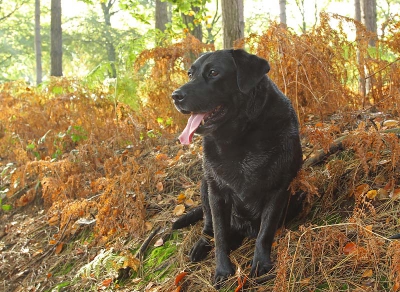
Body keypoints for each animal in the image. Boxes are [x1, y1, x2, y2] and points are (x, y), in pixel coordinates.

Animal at [170, 49, 302, 288]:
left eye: (213, 73)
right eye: (190, 74)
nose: (175, 96)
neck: (239, 137)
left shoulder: (279, 189)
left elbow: (265, 232)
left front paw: (261, 264)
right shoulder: (217, 192)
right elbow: (220, 236)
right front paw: (222, 270)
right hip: (204, 186)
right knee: (208, 227)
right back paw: (201, 246)